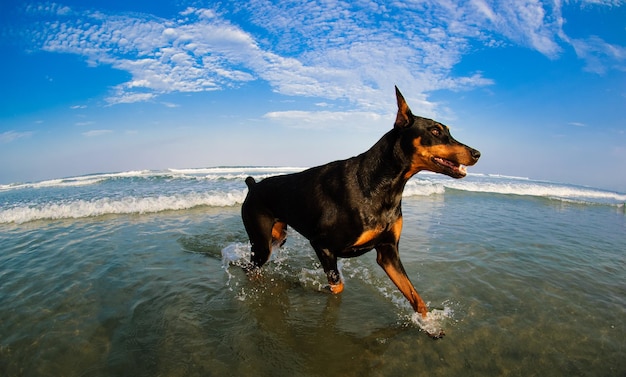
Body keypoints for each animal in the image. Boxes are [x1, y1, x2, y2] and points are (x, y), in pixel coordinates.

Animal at [239, 86, 478, 338]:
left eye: (448, 130)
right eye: (435, 130)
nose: (477, 153)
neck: (381, 185)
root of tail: (253, 186)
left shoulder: (388, 251)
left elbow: (415, 296)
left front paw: (429, 325)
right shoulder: (322, 245)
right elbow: (337, 285)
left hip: (278, 236)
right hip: (262, 242)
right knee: (252, 267)